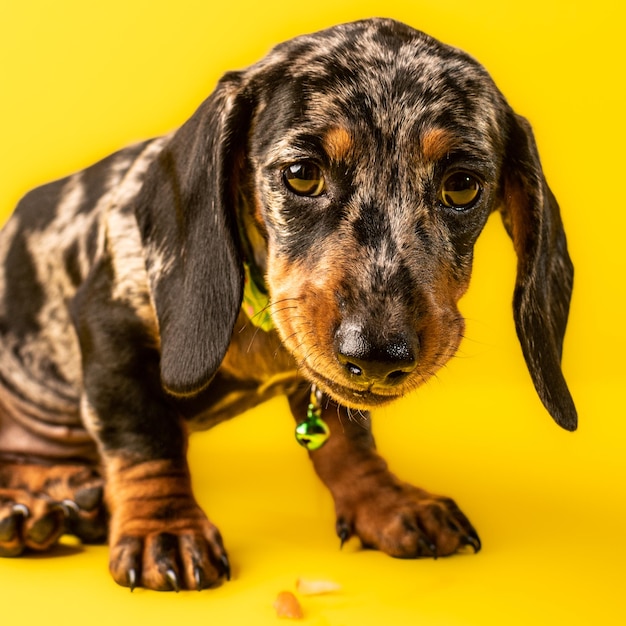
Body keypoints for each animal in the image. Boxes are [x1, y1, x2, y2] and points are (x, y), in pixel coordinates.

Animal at [0, 17, 576, 588]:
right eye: (302, 174)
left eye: (462, 186)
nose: (376, 357)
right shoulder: (108, 325)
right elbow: (144, 436)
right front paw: (163, 528)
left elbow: (347, 439)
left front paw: (387, 502)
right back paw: (28, 511)